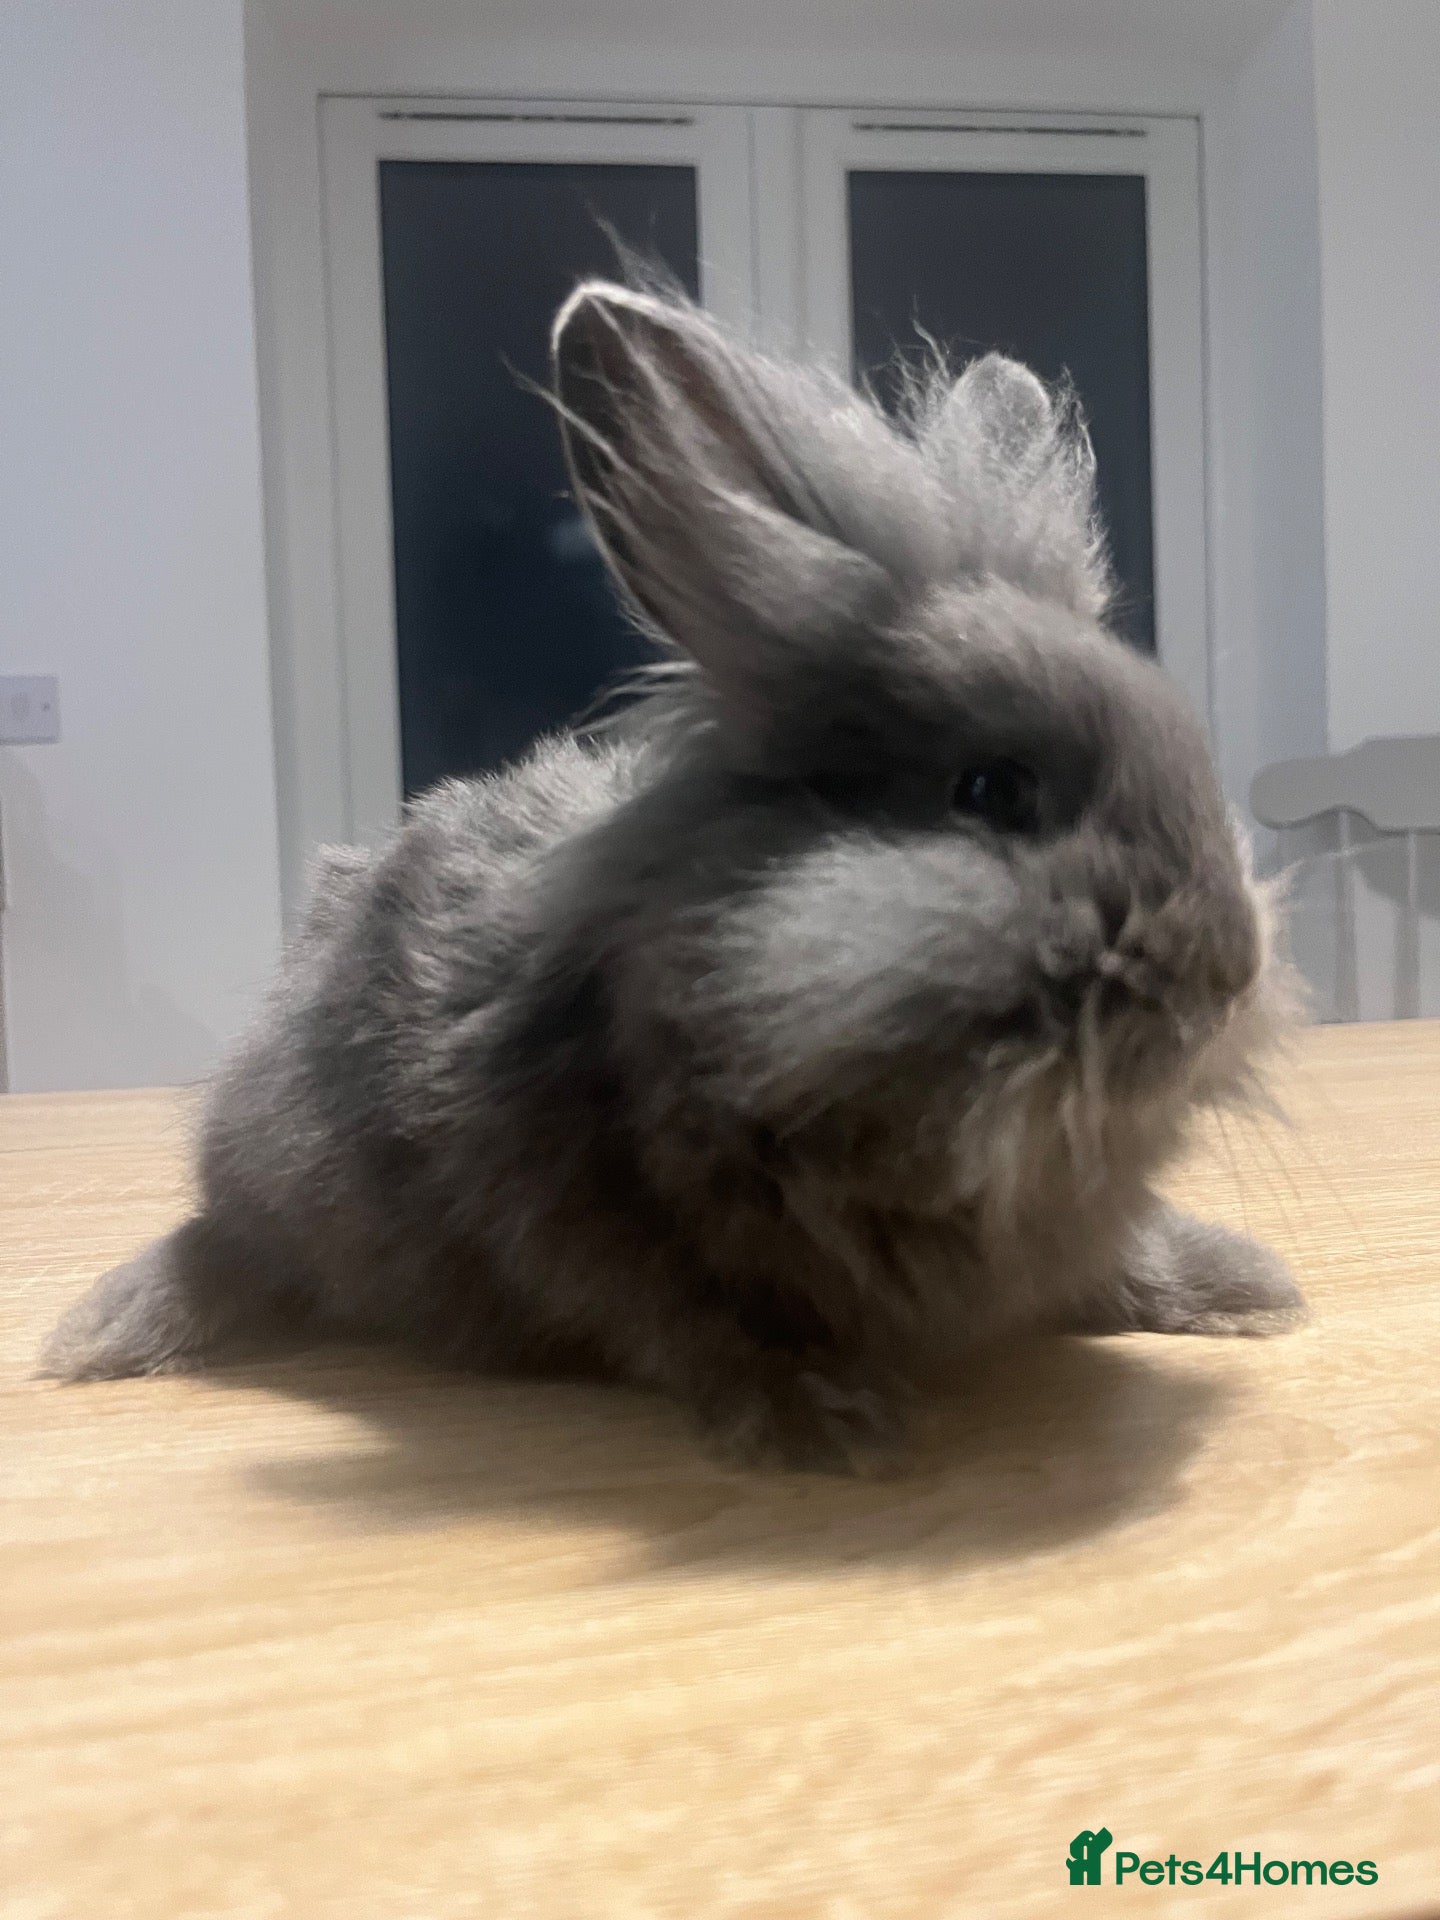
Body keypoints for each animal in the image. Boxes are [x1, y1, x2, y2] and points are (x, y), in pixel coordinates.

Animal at [40, 279, 1305, 1474]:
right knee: (222, 1247)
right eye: (991, 790)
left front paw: (1245, 1289)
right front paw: (825, 1423)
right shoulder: (588, 1225)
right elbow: (695, 1332)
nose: (1231, 972)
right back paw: (98, 1337)